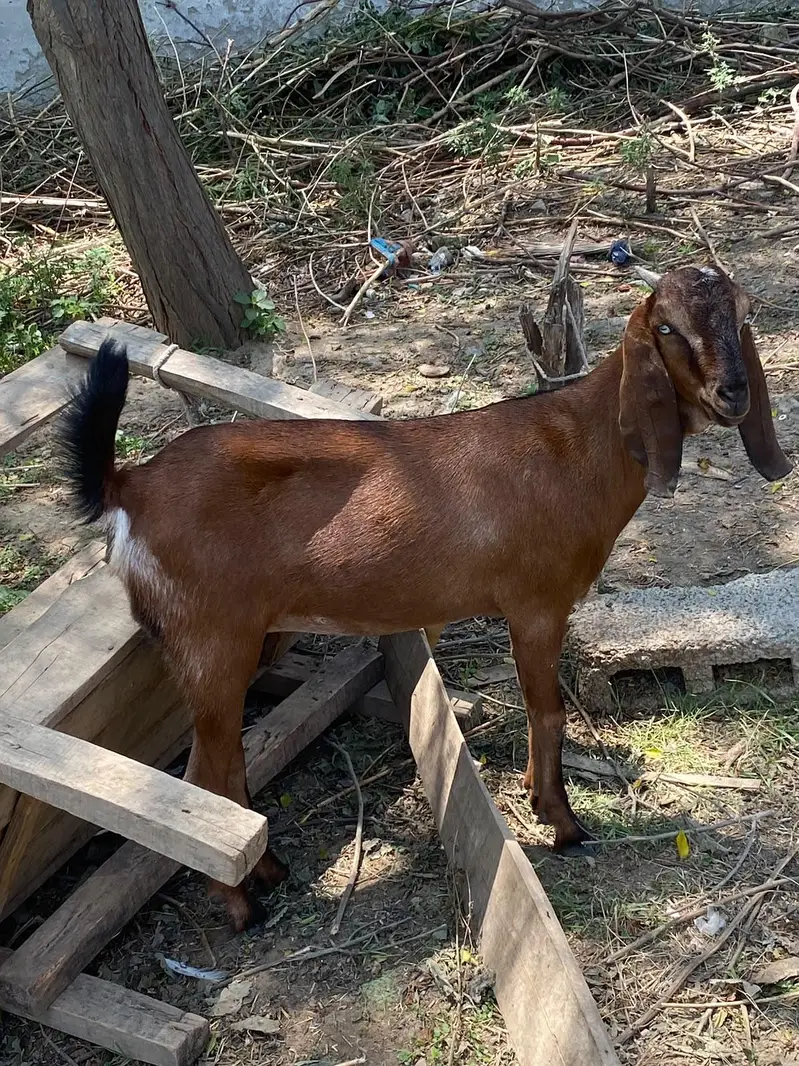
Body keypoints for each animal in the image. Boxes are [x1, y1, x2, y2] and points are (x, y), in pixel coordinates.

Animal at [59, 265, 791, 930]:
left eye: (744, 314)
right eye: (665, 327)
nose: (732, 393)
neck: (576, 448)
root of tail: (129, 486)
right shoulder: (536, 604)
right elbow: (547, 712)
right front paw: (563, 825)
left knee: (217, 769)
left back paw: (268, 871)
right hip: (210, 641)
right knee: (201, 777)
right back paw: (243, 907)